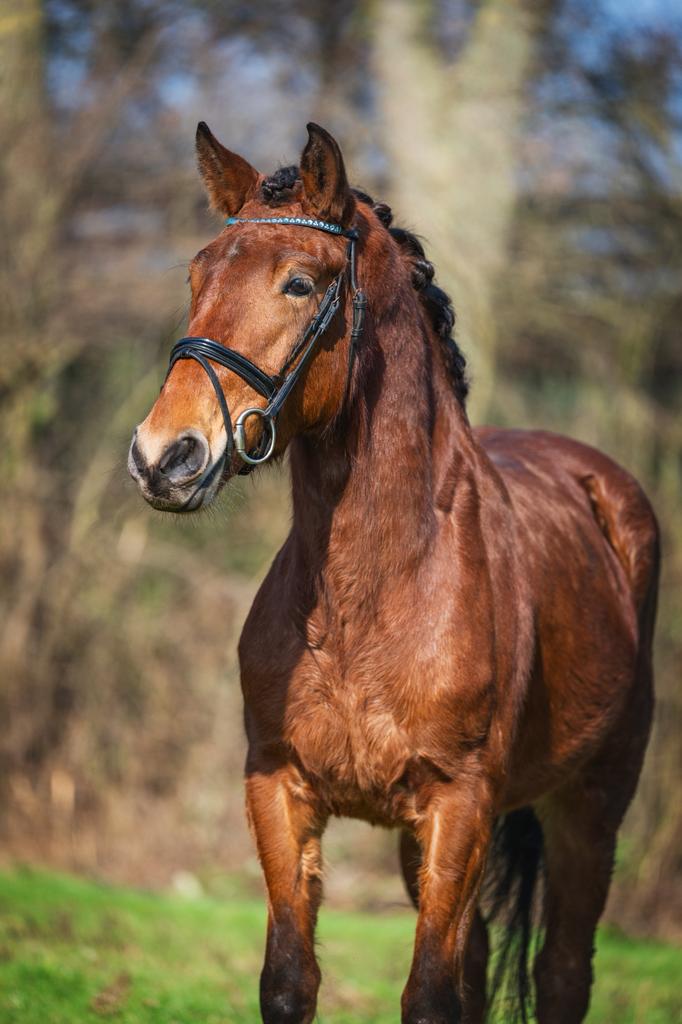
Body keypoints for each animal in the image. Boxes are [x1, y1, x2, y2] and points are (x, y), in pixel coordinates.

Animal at [128, 122, 659, 1024]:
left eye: (300, 283)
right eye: (197, 276)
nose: (164, 457)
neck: (369, 594)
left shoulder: (459, 805)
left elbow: (430, 995)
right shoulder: (281, 791)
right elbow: (291, 980)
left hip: (590, 806)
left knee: (561, 972)